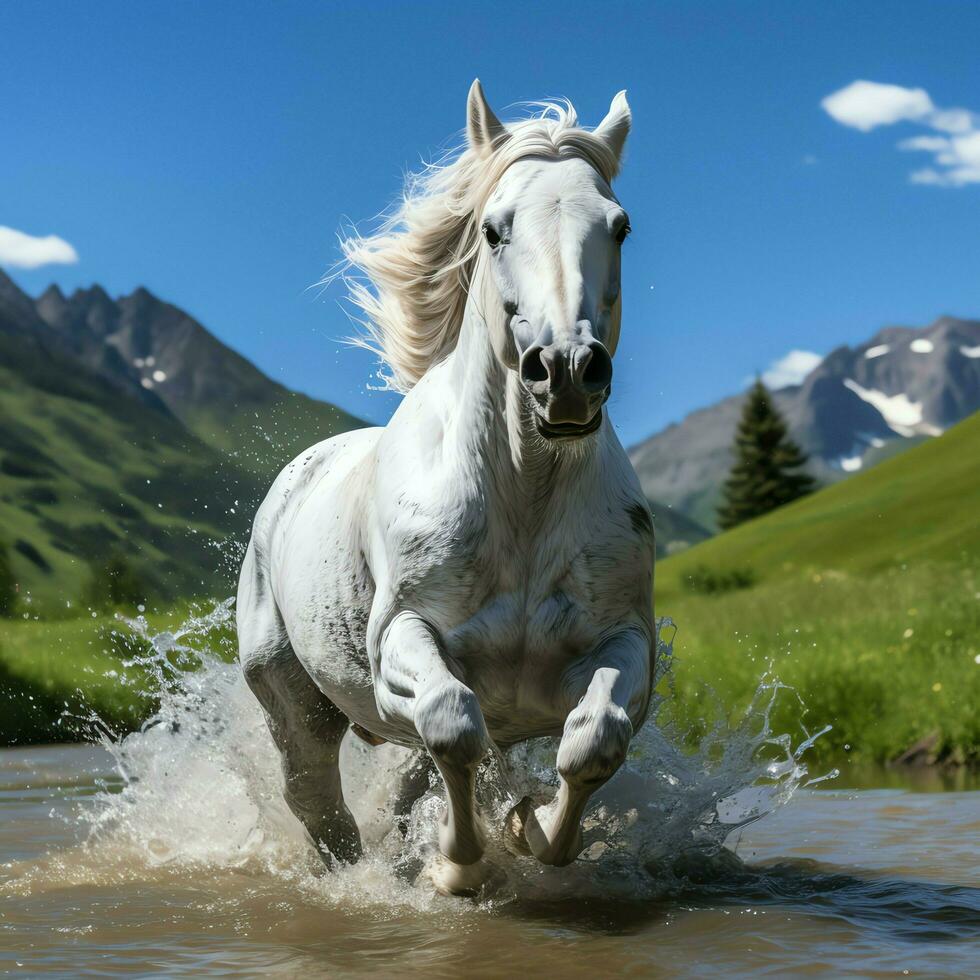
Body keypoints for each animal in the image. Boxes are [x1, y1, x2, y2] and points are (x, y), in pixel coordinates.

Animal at [234, 82, 656, 896]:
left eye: (620, 226)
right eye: (493, 229)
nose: (565, 372)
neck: (523, 497)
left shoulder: (625, 644)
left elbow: (593, 739)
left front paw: (528, 830)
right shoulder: (403, 638)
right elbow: (453, 722)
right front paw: (456, 869)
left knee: (405, 780)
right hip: (291, 698)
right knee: (318, 801)